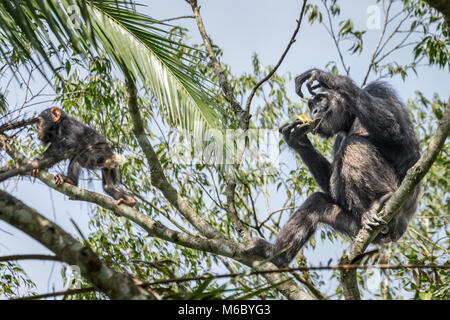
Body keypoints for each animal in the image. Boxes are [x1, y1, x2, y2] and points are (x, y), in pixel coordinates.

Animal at [244, 68, 420, 268]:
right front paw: (297, 139)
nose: (314, 110)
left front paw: (325, 77)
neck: (351, 117)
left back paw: (379, 201)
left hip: (397, 205)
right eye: (311, 104)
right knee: (317, 204)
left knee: (353, 144)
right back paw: (274, 254)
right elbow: (331, 184)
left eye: (320, 99)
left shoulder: (379, 91)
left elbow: (397, 134)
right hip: (358, 227)